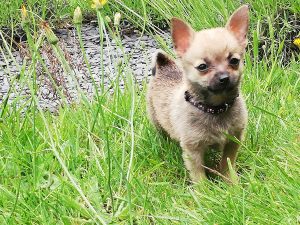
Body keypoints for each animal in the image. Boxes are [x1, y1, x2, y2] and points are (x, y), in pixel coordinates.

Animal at [147, 5, 248, 183]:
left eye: (234, 61)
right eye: (202, 67)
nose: (224, 77)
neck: (216, 109)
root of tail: (164, 65)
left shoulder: (233, 140)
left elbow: (227, 163)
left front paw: (231, 182)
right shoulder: (193, 150)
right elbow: (198, 173)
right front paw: (204, 189)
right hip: (156, 121)